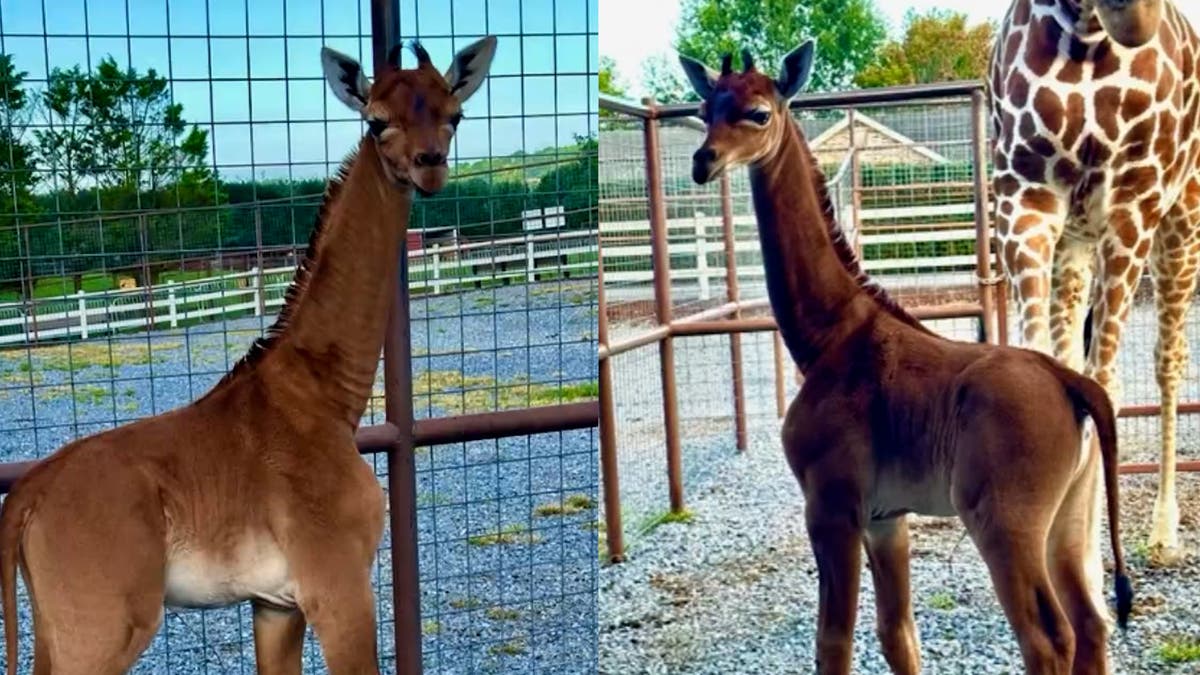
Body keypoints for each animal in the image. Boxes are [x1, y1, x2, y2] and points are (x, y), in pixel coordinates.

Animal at [0, 38, 496, 672]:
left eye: (455, 114)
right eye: (376, 120)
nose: (429, 164)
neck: (322, 398)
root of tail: (25, 499)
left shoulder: (276, 604)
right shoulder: (338, 584)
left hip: (59, 628)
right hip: (100, 627)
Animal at [686, 43, 1132, 672]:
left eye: (758, 113)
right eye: (705, 110)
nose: (704, 161)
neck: (827, 337)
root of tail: (1073, 383)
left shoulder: (832, 505)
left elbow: (834, 641)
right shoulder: (885, 519)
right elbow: (898, 633)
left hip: (1004, 523)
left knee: (1050, 638)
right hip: (1070, 517)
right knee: (1092, 625)